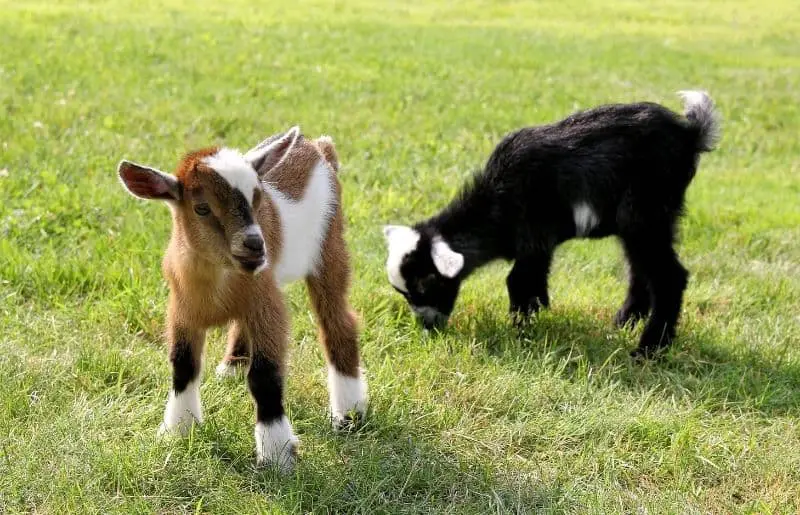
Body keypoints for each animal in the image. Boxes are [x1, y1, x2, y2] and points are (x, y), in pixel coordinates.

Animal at [118, 127, 368, 471]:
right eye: (202, 208)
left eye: (257, 198)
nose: (255, 245)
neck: (217, 279)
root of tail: (319, 147)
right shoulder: (181, 311)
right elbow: (182, 366)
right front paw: (178, 430)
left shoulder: (268, 305)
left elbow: (264, 376)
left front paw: (276, 454)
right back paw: (232, 367)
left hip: (329, 248)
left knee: (337, 321)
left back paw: (349, 413)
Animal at [383, 91, 720, 358]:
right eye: (404, 293)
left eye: (427, 283)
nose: (427, 326)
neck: (496, 204)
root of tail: (690, 133)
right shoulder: (539, 244)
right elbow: (535, 278)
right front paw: (538, 312)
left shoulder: (533, 233)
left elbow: (517, 280)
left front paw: (520, 329)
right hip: (647, 220)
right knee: (639, 270)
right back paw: (623, 323)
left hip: (645, 211)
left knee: (668, 276)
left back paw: (649, 349)